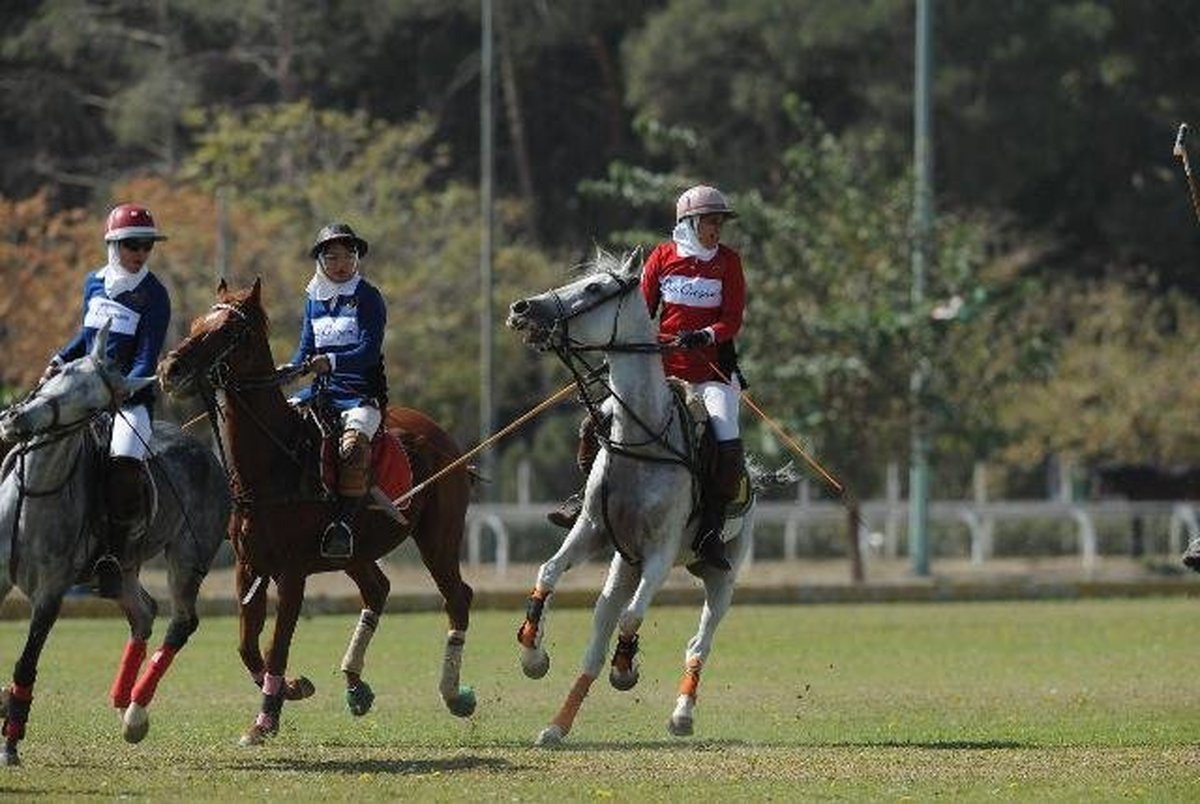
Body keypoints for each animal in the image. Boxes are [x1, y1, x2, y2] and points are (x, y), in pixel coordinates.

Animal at [0, 324, 229, 763]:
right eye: (59, 373)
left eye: (93, 404)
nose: (16, 419)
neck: (34, 491)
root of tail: (205, 452)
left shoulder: (51, 593)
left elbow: (26, 662)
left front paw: (11, 742)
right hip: (124, 567)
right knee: (143, 612)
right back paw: (122, 698)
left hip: (188, 556)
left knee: (181, 620)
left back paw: (136, 711)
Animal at [157, 278, 475, 748]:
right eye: (196, 323)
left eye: (231, 331)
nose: (170, 368)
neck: (271, 464)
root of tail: (442, 436)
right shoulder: (249, 566)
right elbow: (247, 644)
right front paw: (292, 688)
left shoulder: (291, 572)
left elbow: (277, 645)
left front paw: (265, 719)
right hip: (356, 549)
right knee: (377, 589)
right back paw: (356, 685)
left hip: (439, 536)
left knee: (457, 597)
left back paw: (454, 694)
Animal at [504, 252, 787, 748]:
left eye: (595, 289)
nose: (522, 309)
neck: (642, 436)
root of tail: (754, 476)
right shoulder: (593, 531)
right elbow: (549, 571)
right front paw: (532, 653)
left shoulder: (660, 551)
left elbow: (634, 616)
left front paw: (627, 668)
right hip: (624, 564)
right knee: (598, 634)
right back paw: (557, 725)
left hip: (720, 575)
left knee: (698, 641)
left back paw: (681, 714)